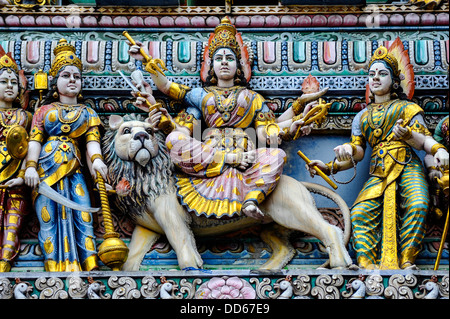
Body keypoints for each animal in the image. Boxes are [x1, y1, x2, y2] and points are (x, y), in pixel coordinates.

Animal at [103, 114, 356, 272]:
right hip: (273, 224)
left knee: (329, 229)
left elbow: (181, 240)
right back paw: (264, 270)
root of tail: (298, 183)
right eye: (126, 131)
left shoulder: (171, 216)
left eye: (149, 130)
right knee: (286, 249)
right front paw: (127, 271)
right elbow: (133, 253)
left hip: (292, 209)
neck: (143, 175)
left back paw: (341, 264)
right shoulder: (146, 227)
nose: (141, 137)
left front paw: (191, 267)